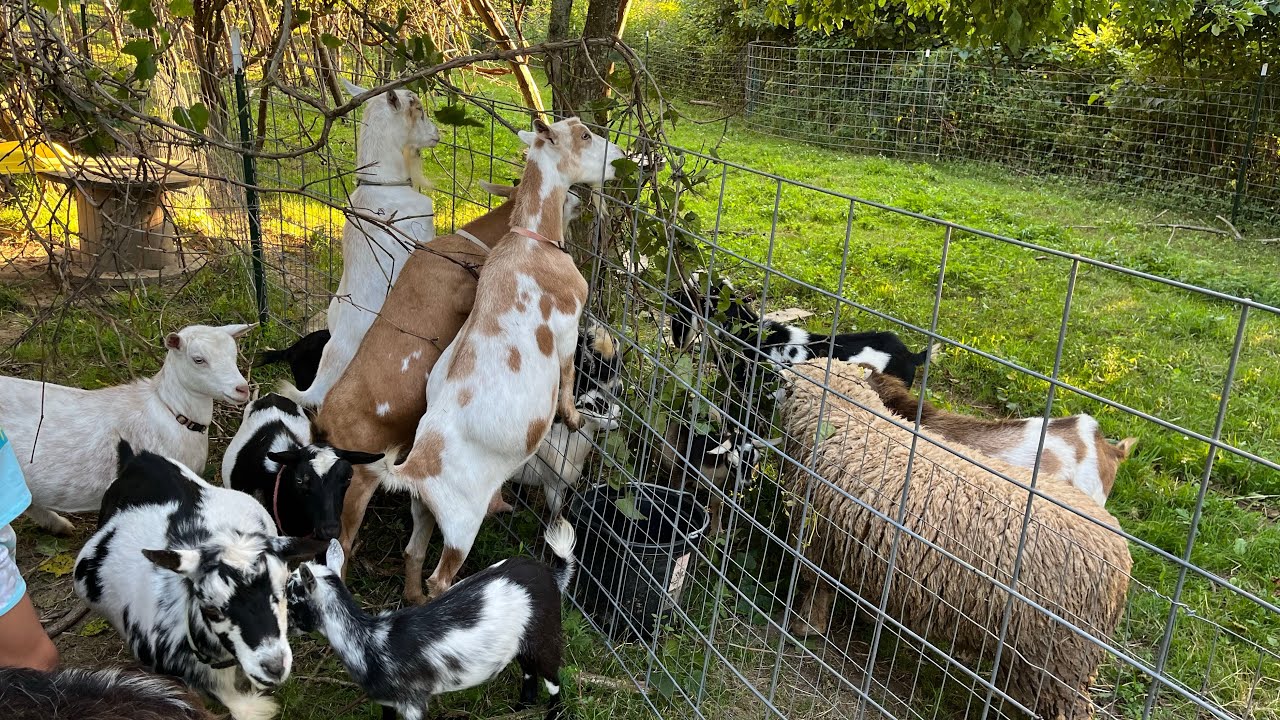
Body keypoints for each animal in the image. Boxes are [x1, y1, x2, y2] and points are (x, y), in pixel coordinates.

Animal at [288, 519, 577, 720]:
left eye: (291, 598)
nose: (287, 629)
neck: (370, 639)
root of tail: (552, 574)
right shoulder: (387, 701)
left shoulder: (414, 702)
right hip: (522, 641)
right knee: (528, 673)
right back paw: (519, 709)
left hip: (545, 632)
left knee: (553, 679)